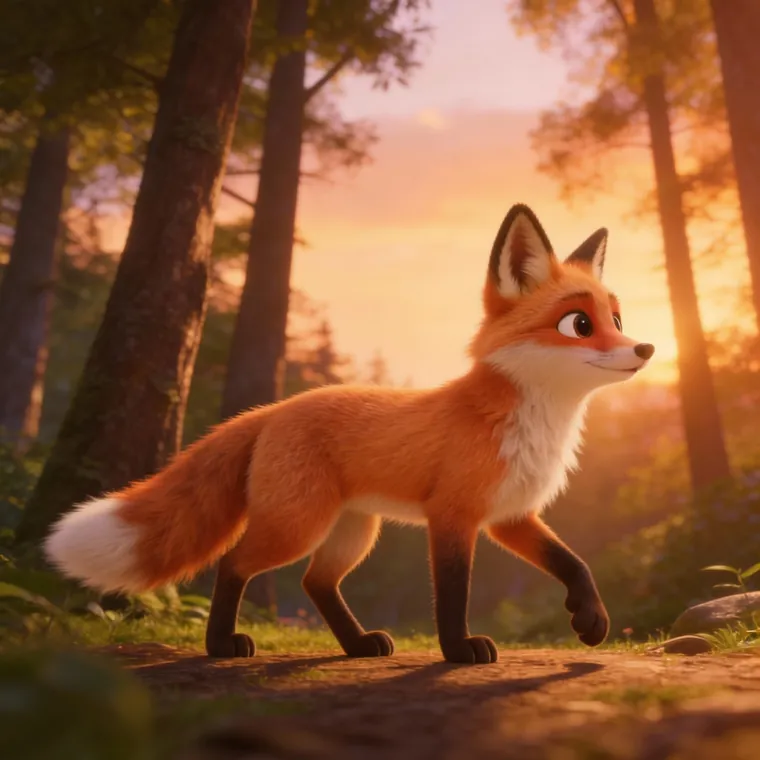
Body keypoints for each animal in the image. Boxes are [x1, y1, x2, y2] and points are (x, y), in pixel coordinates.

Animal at [44, 204, 654, 665]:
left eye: (618, 321)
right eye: (579, 324)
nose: (646, 348)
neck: (526, 421)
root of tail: (272, 409)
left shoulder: (509, 516)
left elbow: (574, 562)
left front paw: (592, 619)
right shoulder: (453, 515)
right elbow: (452, 593)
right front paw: (458, 651)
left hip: (353, 531)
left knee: (316, 583)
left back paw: (358, 645)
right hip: (299, 525)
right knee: (234, 564)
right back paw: (221, 645)